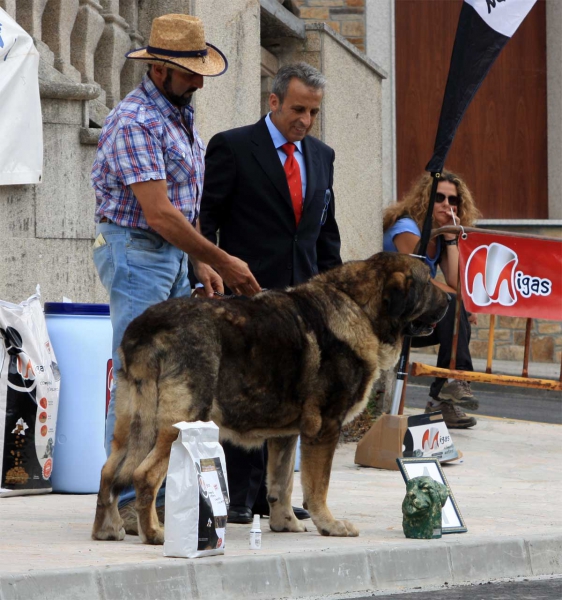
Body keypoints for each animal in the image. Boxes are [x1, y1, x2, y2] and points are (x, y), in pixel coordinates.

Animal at [94, 252, 448, 544]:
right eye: (428, 281)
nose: (449, 299)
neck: (358, 306)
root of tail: (147, 328)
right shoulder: (325, 428)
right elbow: (318, 486)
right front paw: (329, 525)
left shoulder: (286, 436)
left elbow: (282, 483)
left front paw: (285, 523)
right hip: (179, 424)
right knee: (144, 475)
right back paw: (154, 533)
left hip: (132, 425)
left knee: (110, 472)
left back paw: (107, 529)